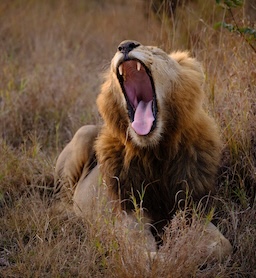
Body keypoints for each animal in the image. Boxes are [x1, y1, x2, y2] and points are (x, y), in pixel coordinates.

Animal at [55, 40, 232, 262]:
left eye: (155, 52)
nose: (125, 45)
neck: (155, 152)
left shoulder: (192, 208)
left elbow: (222, 246)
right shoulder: (129, 213)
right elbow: (142, 254)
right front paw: (169, 253)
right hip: (84, 133)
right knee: (61, 199)